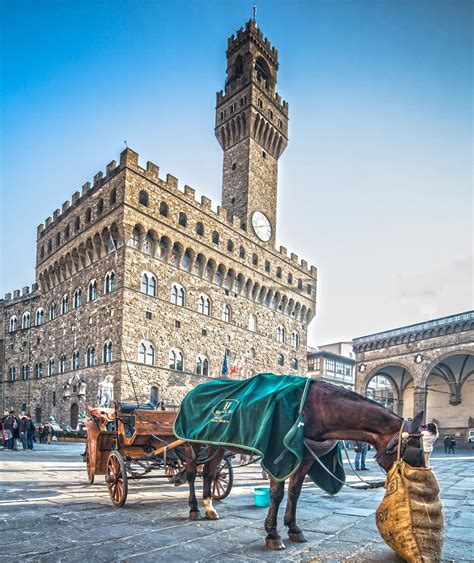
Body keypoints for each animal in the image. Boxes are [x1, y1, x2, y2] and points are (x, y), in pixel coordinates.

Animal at [183, 378, 424, 552]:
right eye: (415, 452)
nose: (417, 487)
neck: (318, 410)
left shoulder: (305, 459)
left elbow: (295, 492)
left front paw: (293, 528)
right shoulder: (277, 455)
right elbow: (277, 494)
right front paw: (273, 534)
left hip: (217, 446)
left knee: (209, 472)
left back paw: (209, 508)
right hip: (191, 444)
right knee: (191, 474)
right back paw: (194, 508)